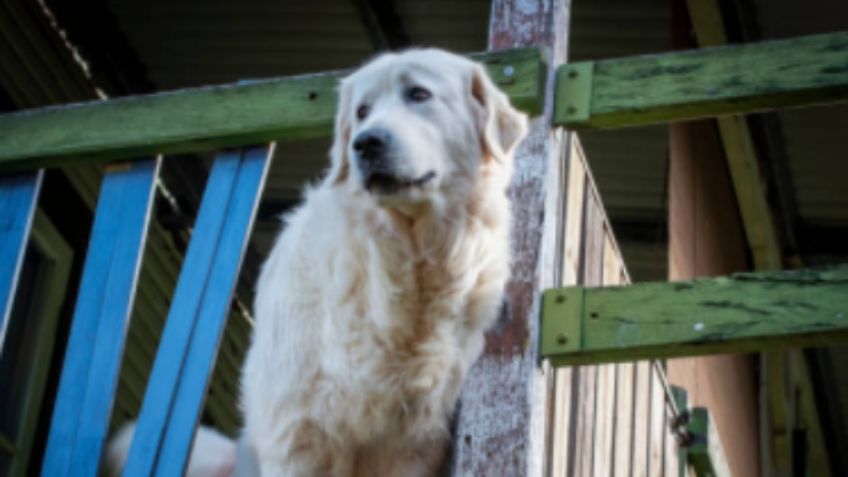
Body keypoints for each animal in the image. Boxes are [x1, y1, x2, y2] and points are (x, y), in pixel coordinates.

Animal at [111, 49, 528, 476]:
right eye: (362, 111)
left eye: (419, 94)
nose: (366, 143)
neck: (405, 259)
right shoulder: (297, 433)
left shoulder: (414, 447)